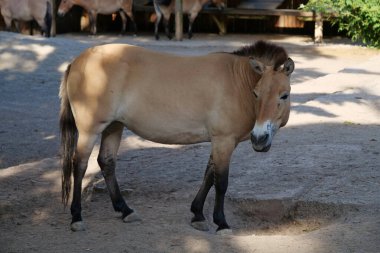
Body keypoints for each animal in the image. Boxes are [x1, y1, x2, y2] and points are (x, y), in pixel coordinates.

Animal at [59, 41, 296, 233]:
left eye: (284, 95)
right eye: (256, 93)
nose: (259, 138)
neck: (237, 82)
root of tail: (77, 61)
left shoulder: (220, 142)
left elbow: (208, 175)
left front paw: (197, 215)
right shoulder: (224, 141)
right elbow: (221, 182)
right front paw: (221, 222)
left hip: (114, 127)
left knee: (106, 162)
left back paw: (125, 210)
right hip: (90, 130)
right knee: (79, 166)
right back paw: (76, 217)